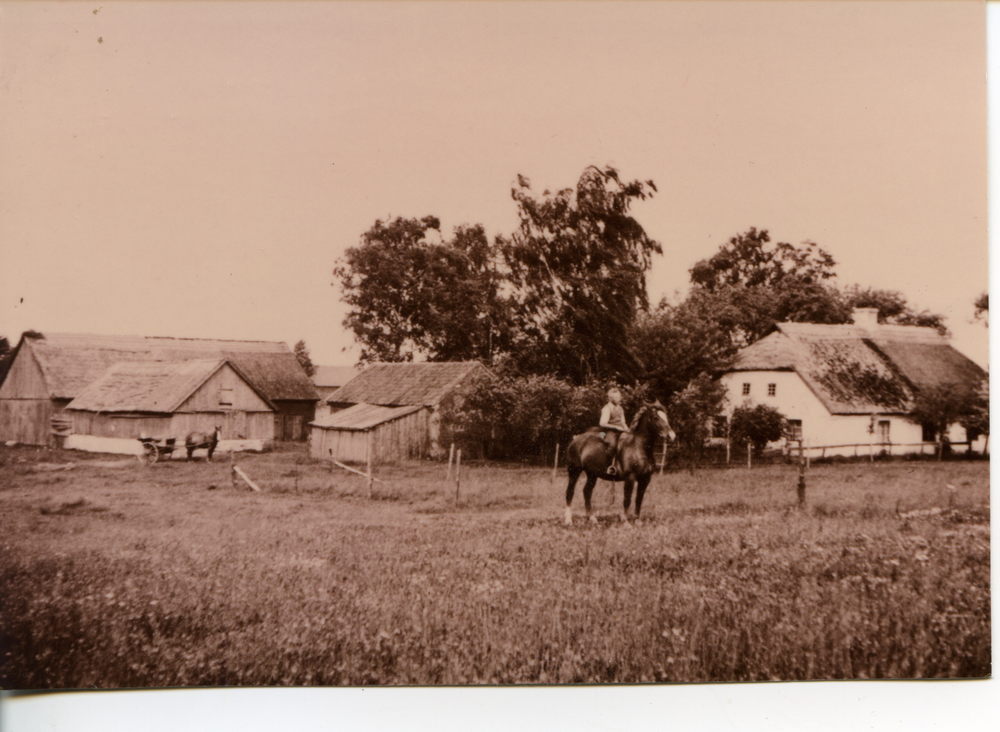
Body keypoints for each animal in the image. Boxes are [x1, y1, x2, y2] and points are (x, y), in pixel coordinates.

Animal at [568, 400, 676, 528]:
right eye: (655, 417)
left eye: (666, 417)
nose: (671, 436)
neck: (638, 447)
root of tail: (576, 439)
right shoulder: (630, 477)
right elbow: (627, 499)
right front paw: (626, 521)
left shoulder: (645, 479)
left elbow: (639, 499)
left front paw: (637, 520)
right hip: (574, 471)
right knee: (570, 492)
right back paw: (568, 520)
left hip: (592, 474)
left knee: (587, 492)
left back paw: (592, 518)